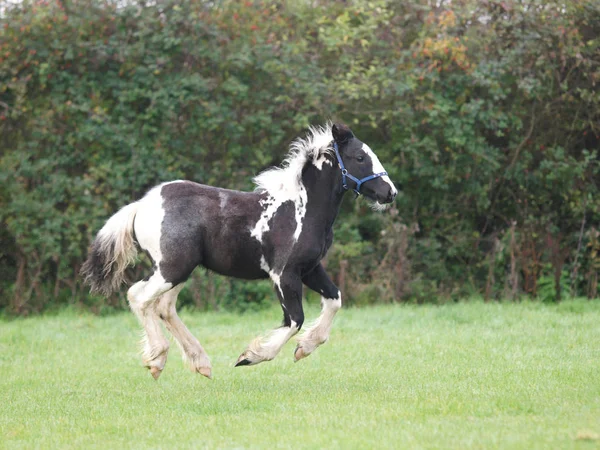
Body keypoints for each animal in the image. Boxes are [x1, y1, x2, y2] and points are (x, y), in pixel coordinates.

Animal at [81, 124, 398, 380]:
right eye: (360, 158)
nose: (390, 193)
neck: (300, 210)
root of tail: (140, 206)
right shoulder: (283, 274)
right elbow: (294, 320)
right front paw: (250, 356)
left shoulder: (310, 269)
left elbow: (334, 300)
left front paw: (304, 348)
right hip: (171, 269)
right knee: (139, 297)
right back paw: (158, 360)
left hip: (179, 271)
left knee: (163, 307)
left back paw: (200, 363)